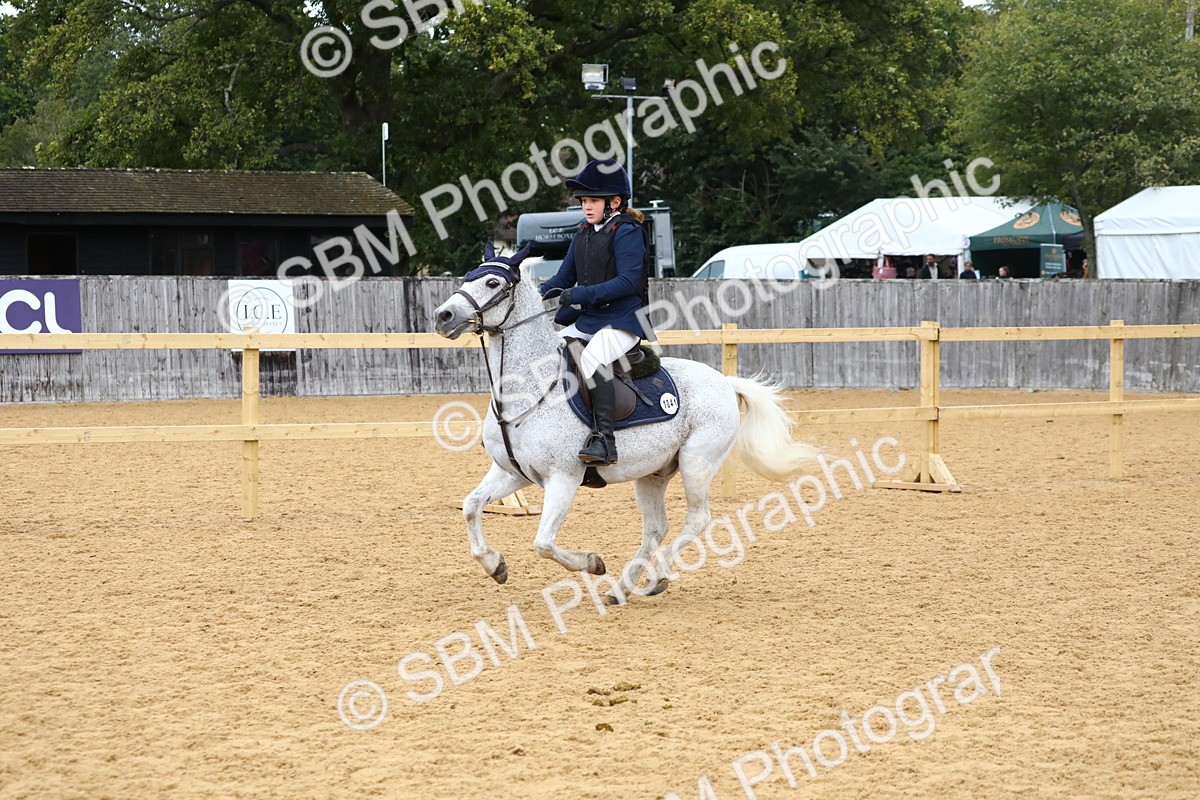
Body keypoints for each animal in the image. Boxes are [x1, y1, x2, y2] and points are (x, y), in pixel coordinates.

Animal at [433, 246, 820, 604]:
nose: (443, 316)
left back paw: (655, 575)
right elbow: (471, 506)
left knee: (697, 520)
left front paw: (592, 562)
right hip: (652, 474)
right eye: (468, 276)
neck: (530, 387)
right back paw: (623, 588)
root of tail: (724, 381)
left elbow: (543, 542)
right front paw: (494, 565)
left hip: (696, 463)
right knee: (656, 529)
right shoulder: (512, 472)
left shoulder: (564, 478)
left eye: (492, 282)